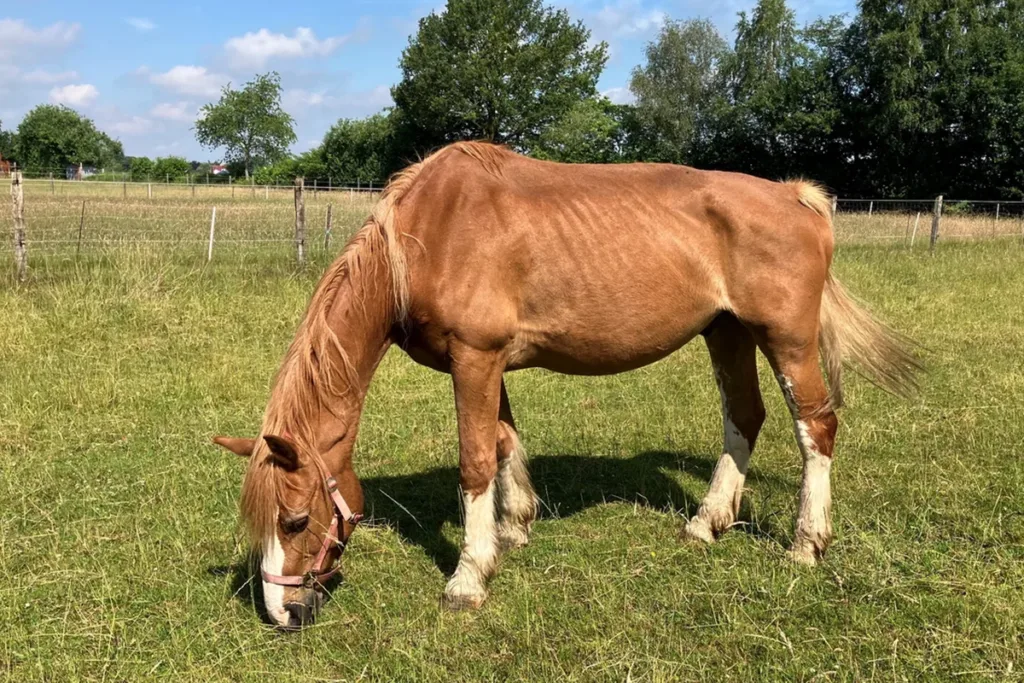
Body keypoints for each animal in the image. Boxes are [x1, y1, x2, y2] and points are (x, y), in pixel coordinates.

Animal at [213, 142, 920, 629]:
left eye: (295, 518)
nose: (283, 615)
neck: (427, 236)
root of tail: (797, 196)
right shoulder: (487, 362)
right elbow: (502, 442)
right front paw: (513, 530)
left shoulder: (475, 358)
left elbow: (474, 460)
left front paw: (469, 577)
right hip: (727, 333)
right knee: (745, 418)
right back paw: (706, 523)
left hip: (787, 340)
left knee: (816, 426)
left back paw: (806, 544)